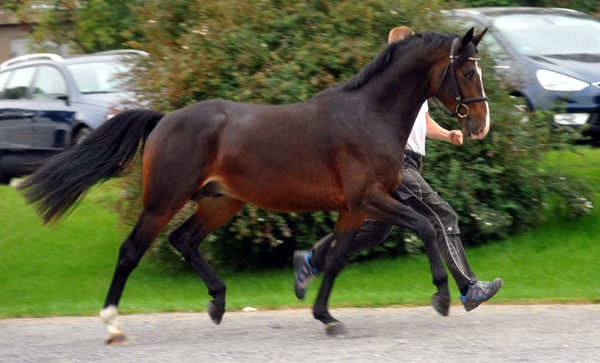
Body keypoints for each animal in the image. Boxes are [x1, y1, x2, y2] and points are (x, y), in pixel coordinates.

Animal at [18, 27, 490, 342]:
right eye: (467, 71)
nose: (481, 124)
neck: (368, 115)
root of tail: (164, 120)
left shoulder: (354, 208)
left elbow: (336, 257)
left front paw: (326, 316)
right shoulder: (369, 198)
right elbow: (427, 226)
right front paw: (443, 297)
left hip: (220, 202)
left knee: (184, 240)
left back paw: (217, 302)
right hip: (163, 200)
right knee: (132, 250)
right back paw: (113, 323)